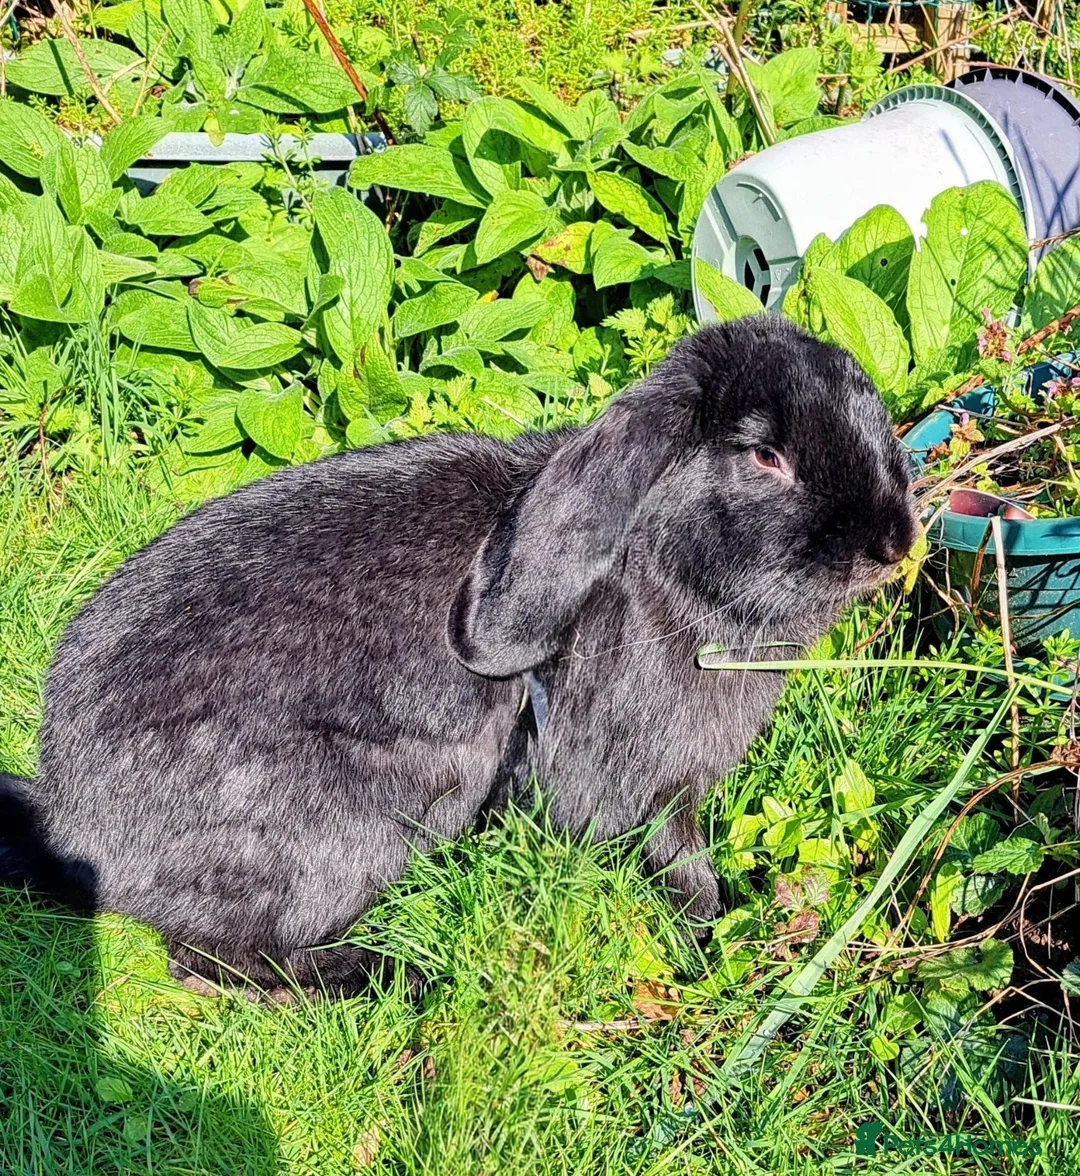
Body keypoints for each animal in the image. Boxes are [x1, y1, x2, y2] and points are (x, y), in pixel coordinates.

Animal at [0, 317, 916, 997]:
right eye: (765, 455)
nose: (894, 543)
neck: (658, 564)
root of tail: (79, 825)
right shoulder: (637, 787)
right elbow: (681, 867)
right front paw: (717, 946)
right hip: (375, 807)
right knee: (214, 961)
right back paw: (390, 978)